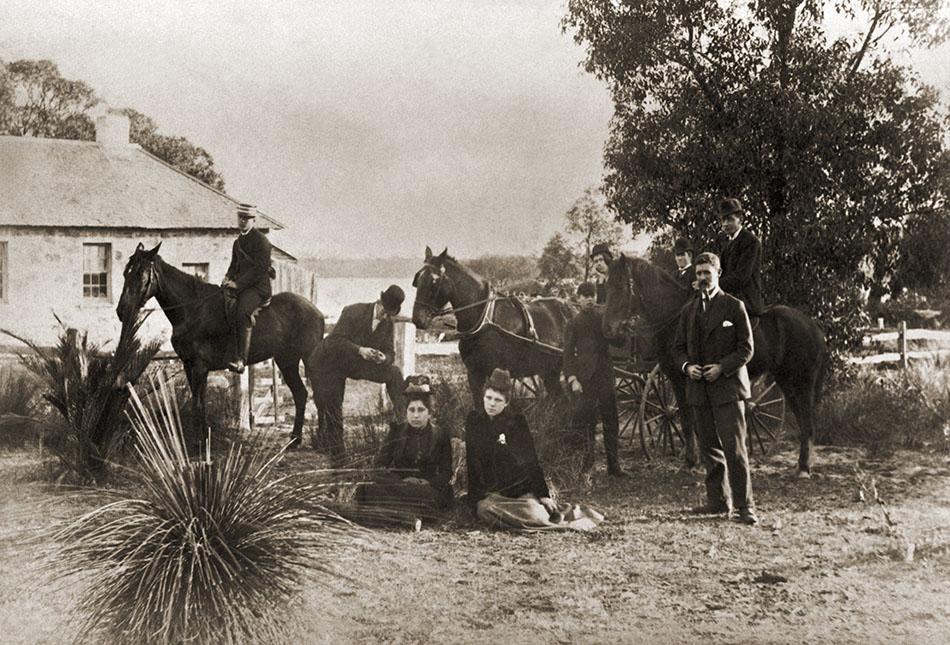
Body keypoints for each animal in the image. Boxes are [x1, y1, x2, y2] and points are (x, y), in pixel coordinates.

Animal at [115, 242, 328, 448]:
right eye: (125, 272)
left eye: (139, 273)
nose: (122, 311)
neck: (193, 309)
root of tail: (316, 311)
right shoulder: (190, 366)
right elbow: (200, 403)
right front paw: (203, 440)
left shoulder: (199, 367)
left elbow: (197, 404)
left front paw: (199, 444)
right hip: (287, 361)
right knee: (301, 394)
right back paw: (295, 439)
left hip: (307, 359)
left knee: (318, 392)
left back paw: (322, 439)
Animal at [412, 245, 576, 402]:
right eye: (417, 279)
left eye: (434, 281)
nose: (417, 319)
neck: (485, 318)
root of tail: (571, 308)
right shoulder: (474, 373)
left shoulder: (498, 374)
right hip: (550, 371)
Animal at [608, 254, 828, 476]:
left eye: (620, 286)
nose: (610, 332)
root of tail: (812, 324)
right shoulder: (678, 380)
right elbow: (687, 421)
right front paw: (691, 462)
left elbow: (692, 421)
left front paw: (700, 461)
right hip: (786, 381)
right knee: (802, 421)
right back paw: (801, 466)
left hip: (803, 382)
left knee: (807, 421)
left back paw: (803, 468)